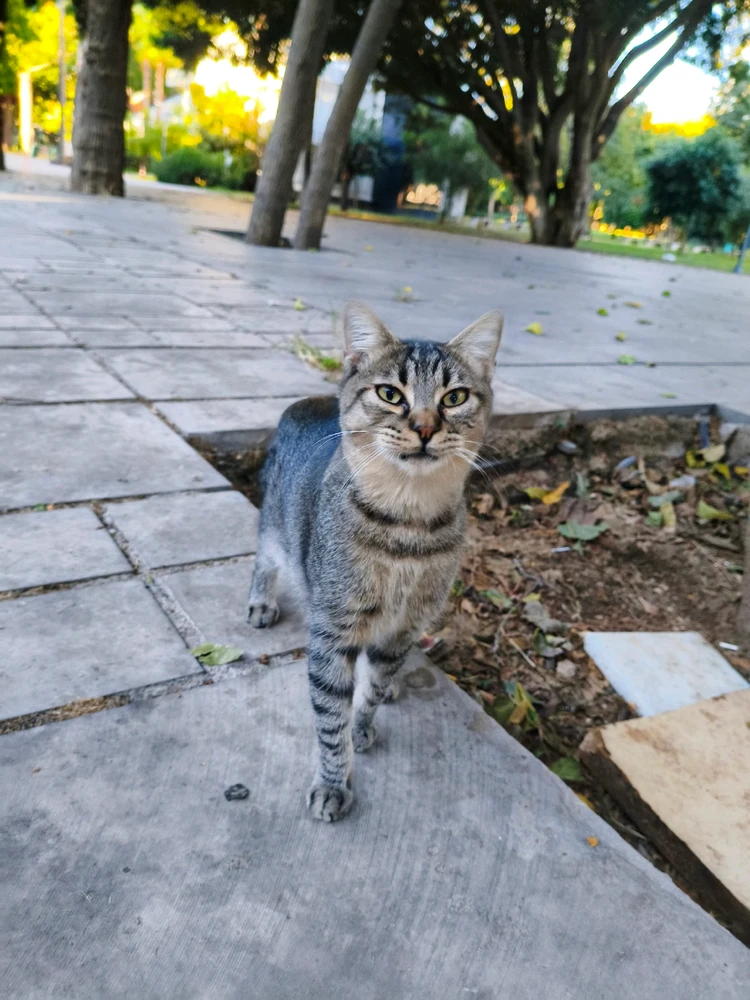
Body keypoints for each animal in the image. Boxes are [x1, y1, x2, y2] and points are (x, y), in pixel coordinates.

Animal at [247, 299, 503, 821]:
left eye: (454, 398)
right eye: (390, 393)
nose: (425, 427)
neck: (407, 524)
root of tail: (304, 404)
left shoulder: (403, 625)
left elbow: (370, 691)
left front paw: (365, 720)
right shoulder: (332, 630)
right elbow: (330, 720)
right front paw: (333, 780)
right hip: (274, 526)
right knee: (265, 560)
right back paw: (261, 600)